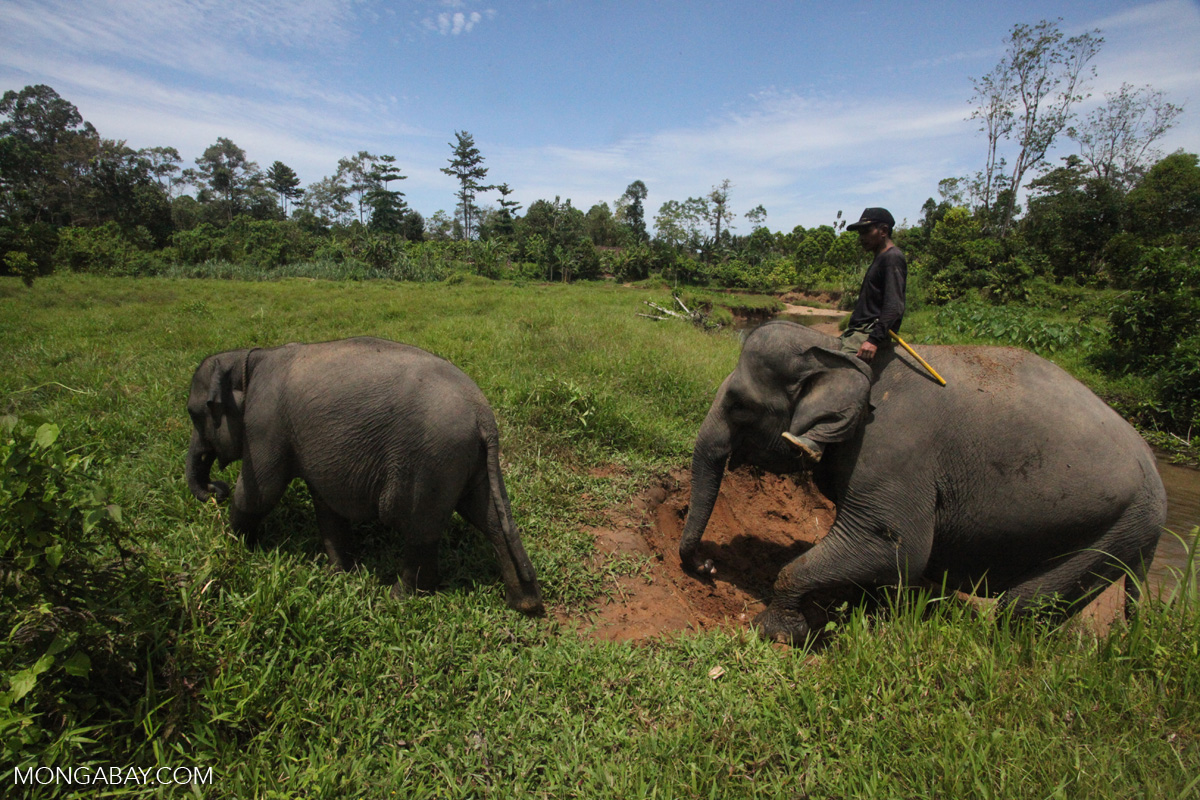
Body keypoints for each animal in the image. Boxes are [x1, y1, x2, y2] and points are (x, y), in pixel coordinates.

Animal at [183, 335, 544, 618]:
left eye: (194, 414)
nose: (216, 489)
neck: (249, 356)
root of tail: (483, 415)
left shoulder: (264, 422)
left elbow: (260, 492)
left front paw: (235, 548)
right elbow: (326, 507)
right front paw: (342, 574)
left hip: (431, 458)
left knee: (418, 526)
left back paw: (398, 598)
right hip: (467, 459)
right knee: (490, 519)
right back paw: (524, 604)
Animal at [681, 321, 1166, 642]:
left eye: (739, 404)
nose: (707, 567)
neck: (839, 352)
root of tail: (1158, 479)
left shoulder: (892, 452)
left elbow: (896, 546)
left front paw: (778, 635)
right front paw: (873, 615)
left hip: (1113, 530)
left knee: (1020, 610)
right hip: (1121, 535)